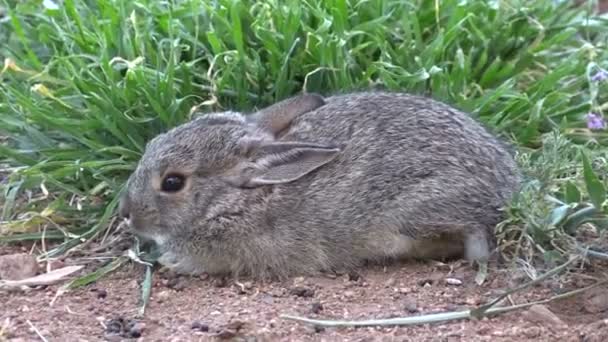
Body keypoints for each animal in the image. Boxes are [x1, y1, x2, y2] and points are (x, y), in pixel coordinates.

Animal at [119, 91, 524, 280]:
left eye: (172, 182)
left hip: (416, 211)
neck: (236, 199)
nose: (125, 214)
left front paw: (173, 262)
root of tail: (507, 189)